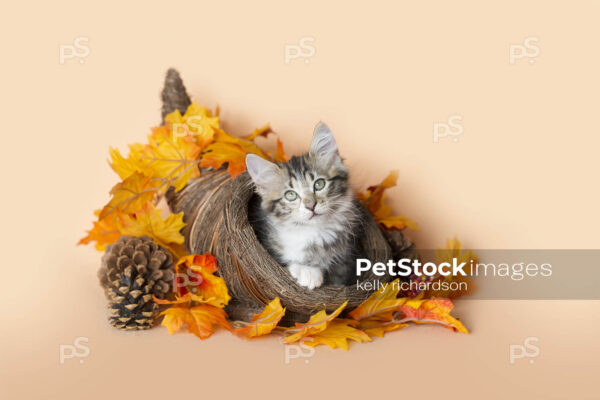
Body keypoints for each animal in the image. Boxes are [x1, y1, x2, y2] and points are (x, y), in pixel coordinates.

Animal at [245, 121, 366, 288]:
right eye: (290, 195)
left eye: (319, 184)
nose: (311, 206)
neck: (313, 233)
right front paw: (307, 271)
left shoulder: (345, 263)